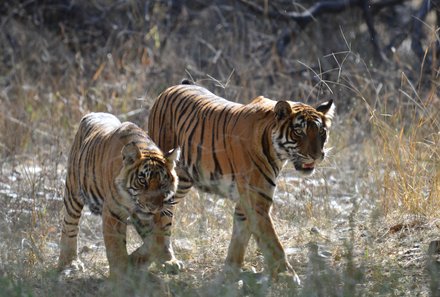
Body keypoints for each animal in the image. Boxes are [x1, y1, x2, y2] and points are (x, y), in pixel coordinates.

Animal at [58, 112, 179, 276]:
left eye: (162, 183)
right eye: (142, 181)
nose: (152, 207)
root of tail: (92, 113)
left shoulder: (163, 209)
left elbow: (160, 235)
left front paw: (159, 260)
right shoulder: (113, 212)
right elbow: (116, 246)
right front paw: (121, 273)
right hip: (73, 192)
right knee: (69, 226)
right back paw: (69, 263)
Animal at [144, 81, 334, 282]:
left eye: (321, 132)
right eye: (299, 132)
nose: (317, 155)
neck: (276, 151)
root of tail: (173, 87)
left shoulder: (247, 200)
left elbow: (240, 236)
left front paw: (231, 271)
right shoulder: (257, 200)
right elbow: (273, 243)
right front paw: (288, 277)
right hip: (175, 179)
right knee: (161, 214)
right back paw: (165, 259)